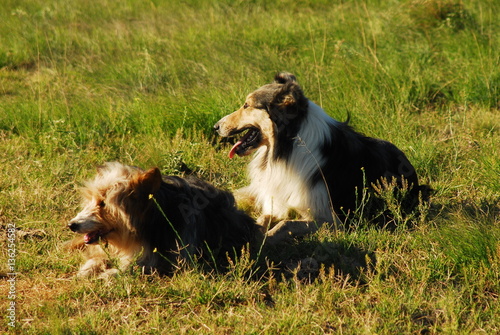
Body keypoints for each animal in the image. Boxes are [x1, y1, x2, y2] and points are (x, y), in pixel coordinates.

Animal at [213, 72, 428, 239]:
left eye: (246, 105)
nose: (216, 126)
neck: (288, 145)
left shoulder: (334, 220)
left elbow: (285, 224)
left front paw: (266, 238)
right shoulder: (279, 201)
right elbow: (265, 217)